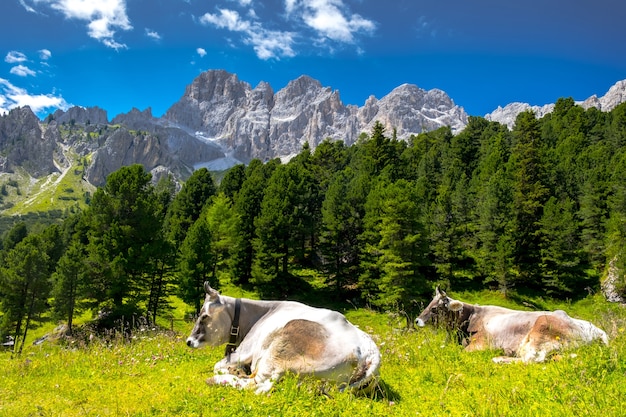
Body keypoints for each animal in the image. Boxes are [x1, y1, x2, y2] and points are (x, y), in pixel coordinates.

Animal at [185, 282, 380, 394]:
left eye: (204, 316)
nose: (189, 341)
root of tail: (370, 353)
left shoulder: (245, 349)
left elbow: (217, 365)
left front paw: (231, 370)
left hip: (280, 352)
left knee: (258, 386)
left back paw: (219, 379)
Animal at [412, 286, 608, 360]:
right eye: (428, 303)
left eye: (435, 308)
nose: (417, 320)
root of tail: (597, 331)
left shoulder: (481, 344)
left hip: (542, 329)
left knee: (532, 360)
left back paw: (500, 357)